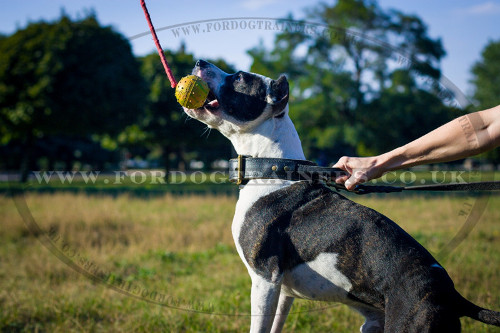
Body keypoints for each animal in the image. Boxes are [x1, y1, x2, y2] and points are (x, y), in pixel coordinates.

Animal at [184, 60, 500, 332]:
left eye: (239, 77)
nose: (199, 62)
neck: (273, 168)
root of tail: (451, 295)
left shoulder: (265, 279)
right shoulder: (284, 292)